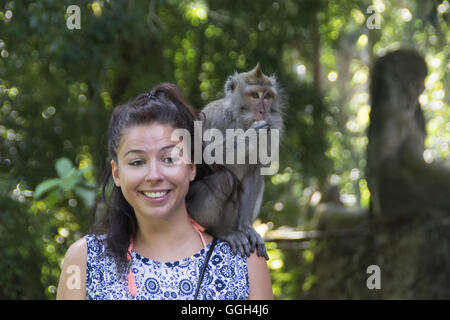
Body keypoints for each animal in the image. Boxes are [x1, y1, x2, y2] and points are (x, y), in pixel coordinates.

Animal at [186, 63, 284, 260]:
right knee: (224, 180)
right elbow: (201, 155)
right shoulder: (214, 118)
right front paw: (252, 135)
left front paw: (247, 229)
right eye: (254, 96)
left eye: (267, 96)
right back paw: (220, 232)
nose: (263, 111)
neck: (241, 121)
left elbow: (255, 172)